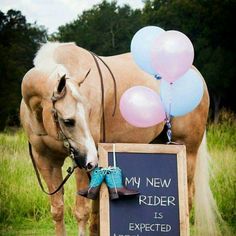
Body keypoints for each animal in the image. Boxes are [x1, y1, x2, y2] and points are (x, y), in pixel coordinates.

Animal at [20, 42, 219, 236]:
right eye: (68, 121)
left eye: (87, 112)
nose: (91, 160)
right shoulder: (46, 161)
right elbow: (58, 210)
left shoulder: (81, 164)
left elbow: (82, 212)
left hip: (187, 151)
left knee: (188, 198)